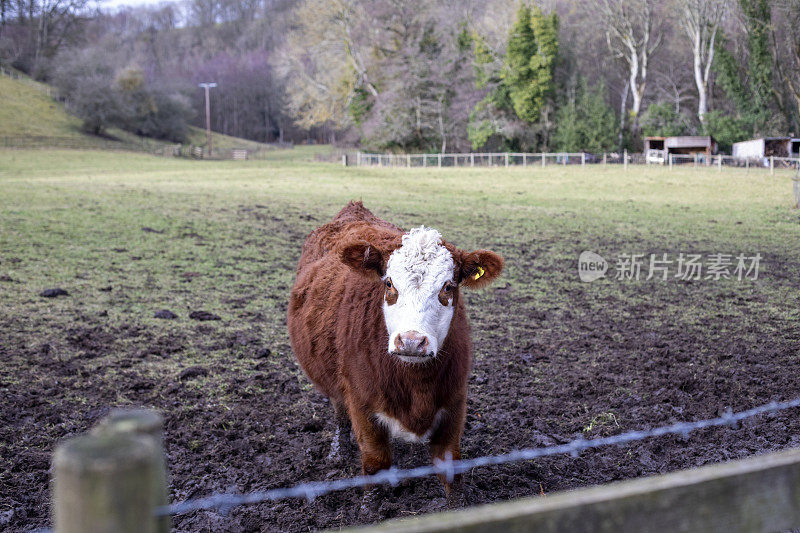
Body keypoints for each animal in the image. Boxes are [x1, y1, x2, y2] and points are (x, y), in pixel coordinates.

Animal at [286, 201, 500, 502]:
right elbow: (376, 463)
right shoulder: (362, 404)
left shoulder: (454, 401)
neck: (416, 385)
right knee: (340, 412)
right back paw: (338, 452)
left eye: (447, 286)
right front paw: (370, 507)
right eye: (389, 284)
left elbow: (450, 467)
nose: (411, 341)